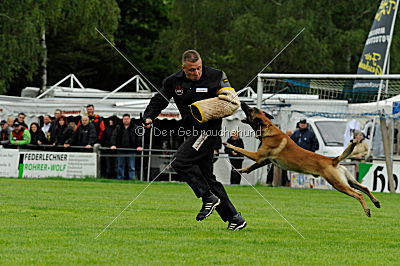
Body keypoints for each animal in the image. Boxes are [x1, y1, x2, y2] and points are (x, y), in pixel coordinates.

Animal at [223, 103, 380, 217]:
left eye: (250, 110)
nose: (243, 103)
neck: (268, 127)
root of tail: (333, 161)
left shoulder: (257, 155)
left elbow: (241, 150)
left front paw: (228, 144)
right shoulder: (265, 161)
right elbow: (251, 167)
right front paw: (241, 169)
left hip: (338, 184)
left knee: (359, 194)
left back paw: (367, 210)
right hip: (348, 180)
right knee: (365, 188)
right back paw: (376, 202)